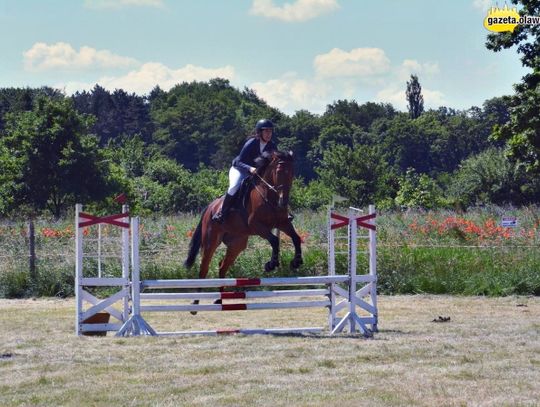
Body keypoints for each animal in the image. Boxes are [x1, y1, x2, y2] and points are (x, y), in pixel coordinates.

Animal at [185, 151, 304, 310]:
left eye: (292, 173)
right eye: (278, 172)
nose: (283, 202)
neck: (269, 196)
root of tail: (210, 207)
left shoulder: (283, 223)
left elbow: (296, 238)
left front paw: (296, 261)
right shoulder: (256, 225)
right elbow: (274, 240)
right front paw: (271, 264)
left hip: (237, 244)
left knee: (222, 266)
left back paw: (220, 300)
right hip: (210, 241)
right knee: (204, 268)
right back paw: (195, 302)